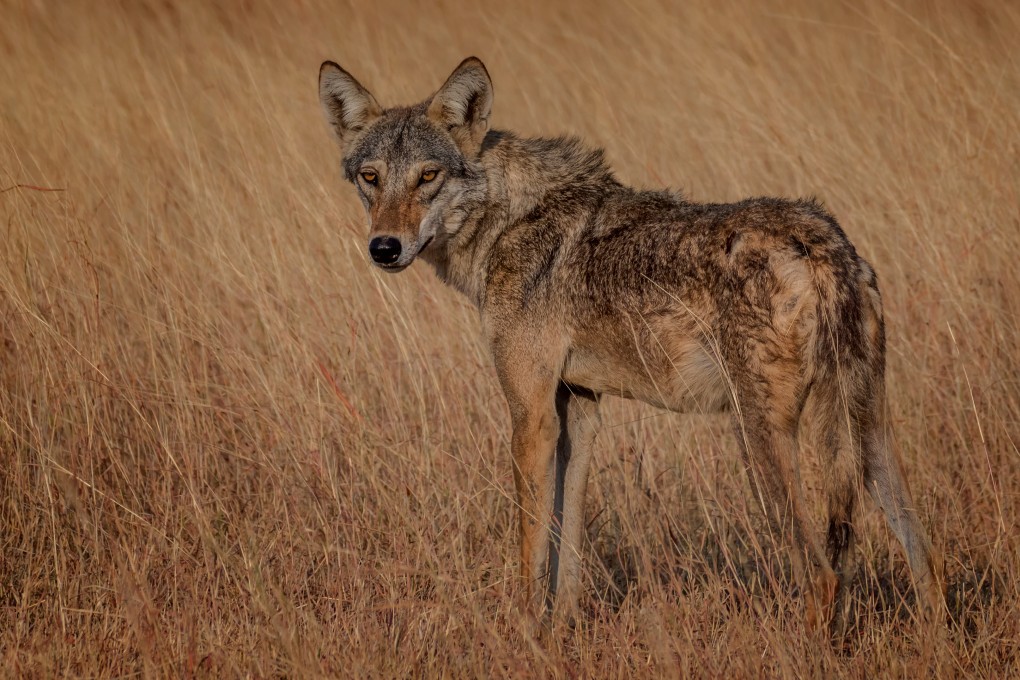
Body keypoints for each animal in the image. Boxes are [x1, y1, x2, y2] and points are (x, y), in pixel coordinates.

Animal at [317, 56, 944, 631]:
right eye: (371, 178)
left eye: (428, 177)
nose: (384, 247)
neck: (506, 222)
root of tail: (824, 242)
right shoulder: (579, 410)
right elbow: (566, 550)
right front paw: (561, 633)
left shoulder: (530, 415)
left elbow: (530, 549)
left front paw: (524, 633)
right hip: (868, 438)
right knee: (926, 564)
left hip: (760, 439)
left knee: (823, 574)